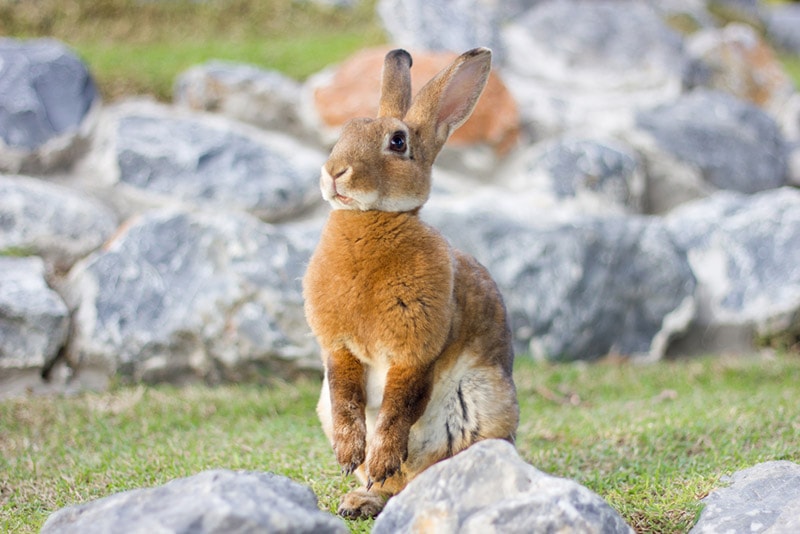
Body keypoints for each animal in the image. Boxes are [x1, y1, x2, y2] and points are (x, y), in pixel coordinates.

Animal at [302, 47, 519, 519]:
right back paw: (361, 498)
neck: (372, 219)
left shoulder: (416, 351)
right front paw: (349, 456)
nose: (334, 172)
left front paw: (379, 456)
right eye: (343, 132)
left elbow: (400, 406)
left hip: (482, 410)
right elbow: (346, 397)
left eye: (398, 143)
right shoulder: (340, 348)